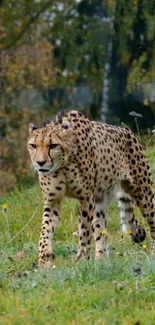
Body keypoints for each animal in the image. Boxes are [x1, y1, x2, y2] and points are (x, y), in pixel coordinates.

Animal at [27, 110, 155, 268]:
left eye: (53, 145)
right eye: (33, 145)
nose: (40, 162)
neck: (63, 165)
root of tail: (128, 131)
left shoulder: (86, 199)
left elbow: (84, 231)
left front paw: (82, 259)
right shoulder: (53, 200)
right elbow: (45, 230)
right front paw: (44, 259)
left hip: (143, 194)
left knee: (152, 220)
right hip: (100, 202)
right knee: (101, 232)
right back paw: (100, 261)